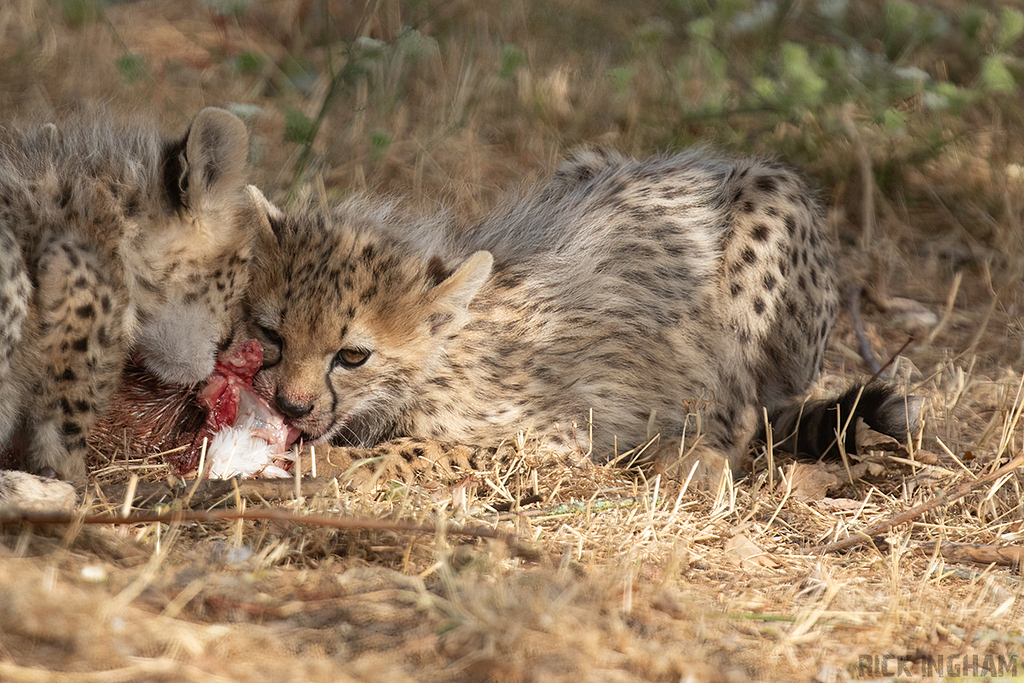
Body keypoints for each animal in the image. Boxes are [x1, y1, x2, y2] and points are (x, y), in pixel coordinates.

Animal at [242, 147, 920, 485]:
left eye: (352, 355)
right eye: (270, 334)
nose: (290, 406)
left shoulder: (562, 431)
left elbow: (429, 449)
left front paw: (337, 465)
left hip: (766, 204)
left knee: (744, 415)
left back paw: (690, 459)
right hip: (580, 163)